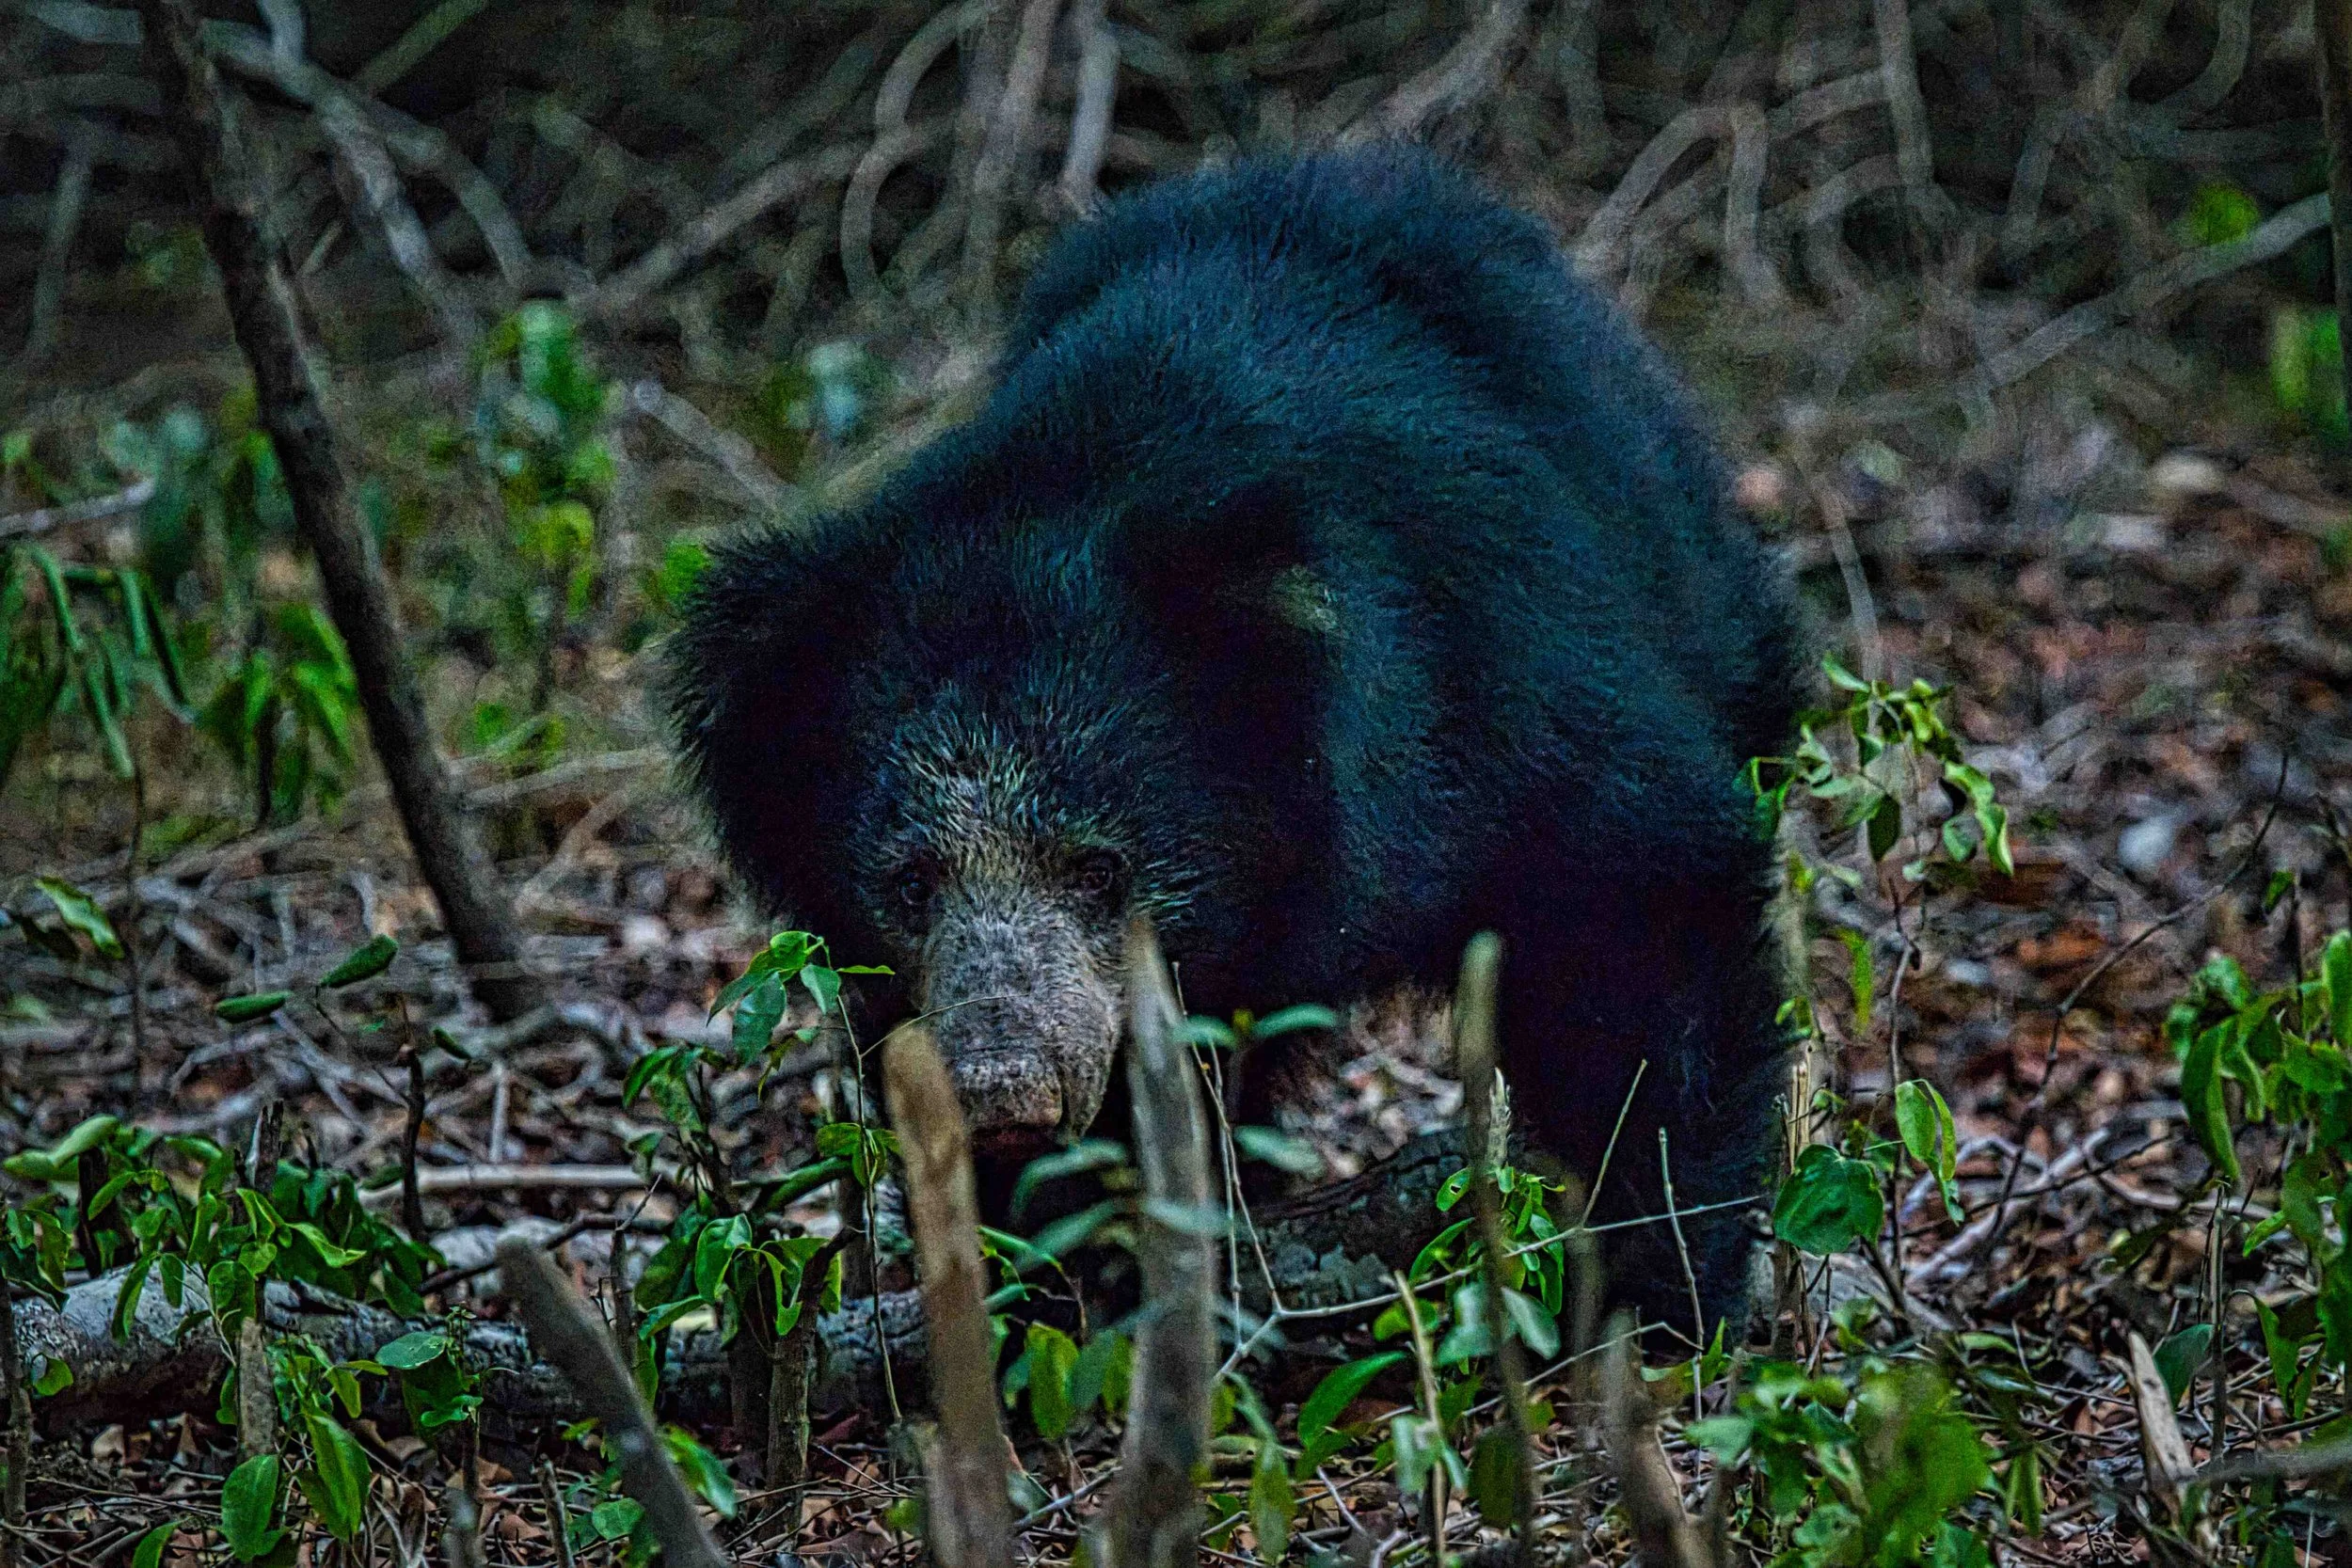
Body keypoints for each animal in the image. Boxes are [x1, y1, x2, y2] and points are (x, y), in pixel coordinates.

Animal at [667, 146, 1797, 1326]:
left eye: (1098, 869)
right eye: (910, 880)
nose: (1006, 1092)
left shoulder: (1507, 685)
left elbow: (1637, 915)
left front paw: (1658, 1288)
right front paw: (1076, 1282)